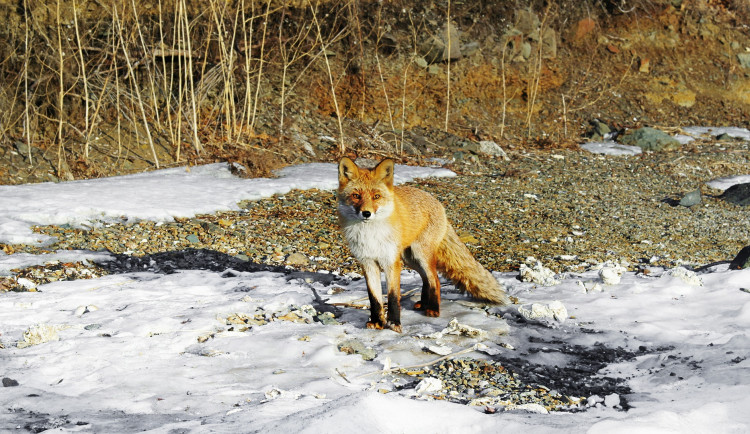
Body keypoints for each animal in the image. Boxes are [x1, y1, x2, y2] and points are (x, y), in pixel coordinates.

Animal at [340, 159, 512, 332]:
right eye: (356, 196)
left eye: (376, 196)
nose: (366, 213)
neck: (370, 235)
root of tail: (437, 203)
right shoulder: (368, 263)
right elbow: (374, 298)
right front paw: (377, 321)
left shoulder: (391, 263)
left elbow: (393, 296)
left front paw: (394, 322)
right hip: (410, 259)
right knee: (425, 279)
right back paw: (423, 304)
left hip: (420, 255)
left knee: (435, 279)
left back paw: (433, 309)